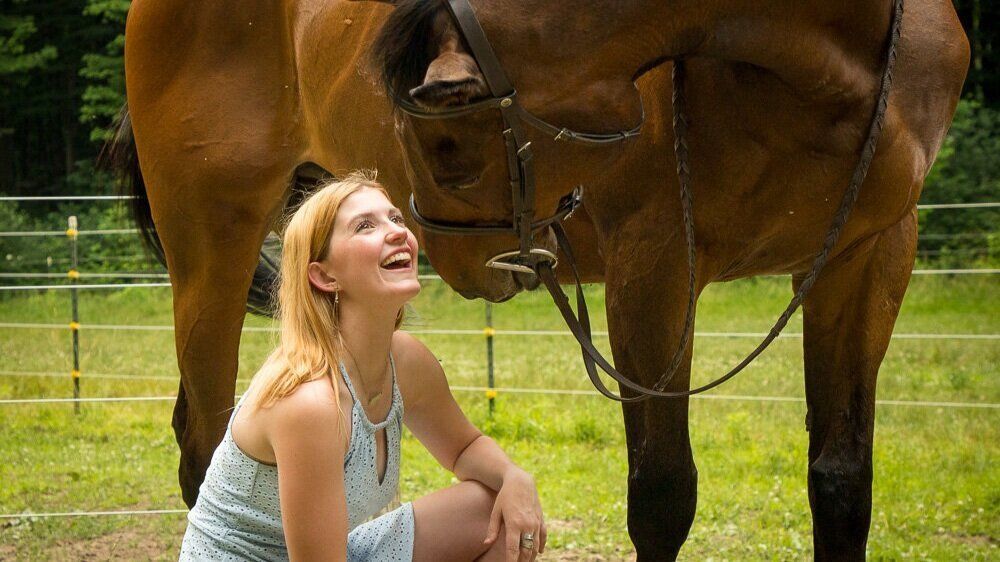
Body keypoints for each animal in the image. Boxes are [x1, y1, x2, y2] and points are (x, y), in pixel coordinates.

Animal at [112, 0, 968, 559]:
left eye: (447, 147)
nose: (443, 253)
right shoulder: (655, 266)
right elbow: (663, 495)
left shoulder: (868, 257)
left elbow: (842, 483)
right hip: (212, 245)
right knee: (206, 441)